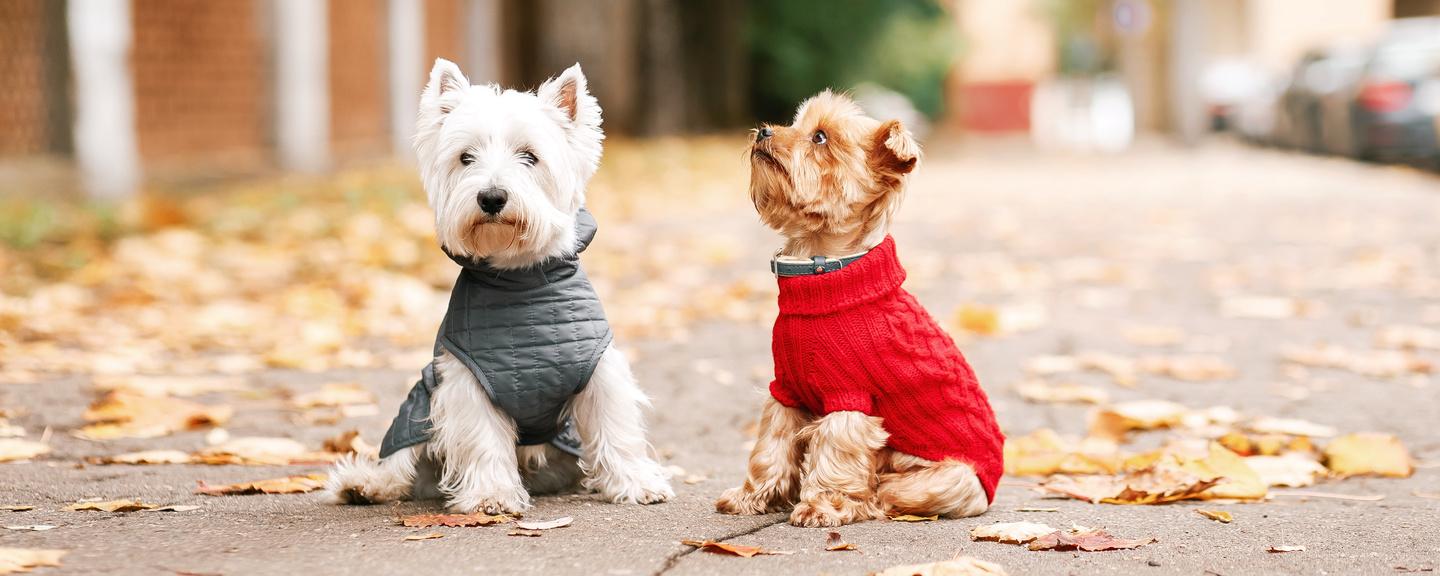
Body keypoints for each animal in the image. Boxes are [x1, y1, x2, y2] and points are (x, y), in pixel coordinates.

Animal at [329, 59, 676, 512]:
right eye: (465, 157)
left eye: (530, 156)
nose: (492, 197)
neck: (520, 282)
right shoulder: (466, 381)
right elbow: (482, 438)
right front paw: (491, 494)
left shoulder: (600, 370)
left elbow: (614, 427)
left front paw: (636, 483)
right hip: (419, 402)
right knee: (402, 460)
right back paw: (366, 484)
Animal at [717, 92, 1002, 529]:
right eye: (794, 124)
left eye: (819, 137)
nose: (764, 130)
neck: (821, 272)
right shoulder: (785, 392)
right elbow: (770, 446)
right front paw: (753, 496)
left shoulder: (849, 399)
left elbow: (835, 454)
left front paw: (820, 506)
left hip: (946, 479)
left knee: (887, 491)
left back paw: (866, 501)